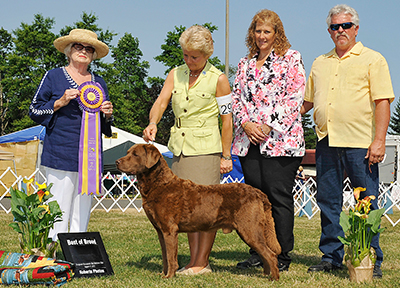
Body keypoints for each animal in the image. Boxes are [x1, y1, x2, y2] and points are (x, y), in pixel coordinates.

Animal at [115, 144, 282, 280]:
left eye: (135, 154)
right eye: (128, 152)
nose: (117, 162)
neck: (159, 184)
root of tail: (258, 193)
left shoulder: (169, 230)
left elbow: (170, 256)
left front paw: (169, 276)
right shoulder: (160, 231)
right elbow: (164, 255)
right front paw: (163, 274)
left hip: (249, 229)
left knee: (271, 255)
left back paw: (273, 278)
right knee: (265, 254)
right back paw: (266, 275)